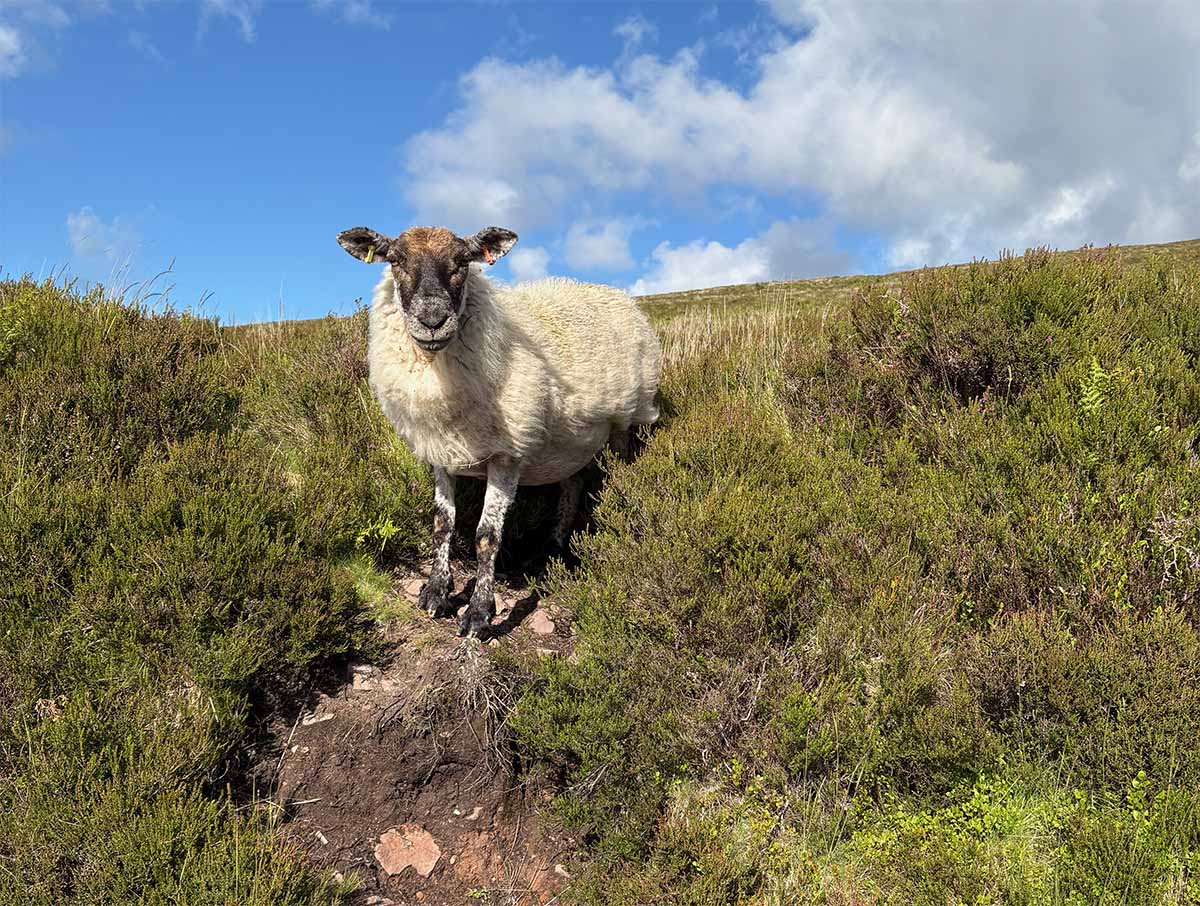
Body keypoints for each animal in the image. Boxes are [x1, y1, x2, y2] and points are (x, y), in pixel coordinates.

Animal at [336, 224, 661, 637]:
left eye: (463, 262)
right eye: (395, 260)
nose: (432, 320)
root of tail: (614, 293)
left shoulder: (507, 456)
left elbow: (486, 537)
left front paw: (478, 612)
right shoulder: (440, 452)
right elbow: (442, 524)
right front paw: (436, 592)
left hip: (626, 421)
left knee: (616, 477)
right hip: (573, 441)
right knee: (572, 484)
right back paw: (551, 549)